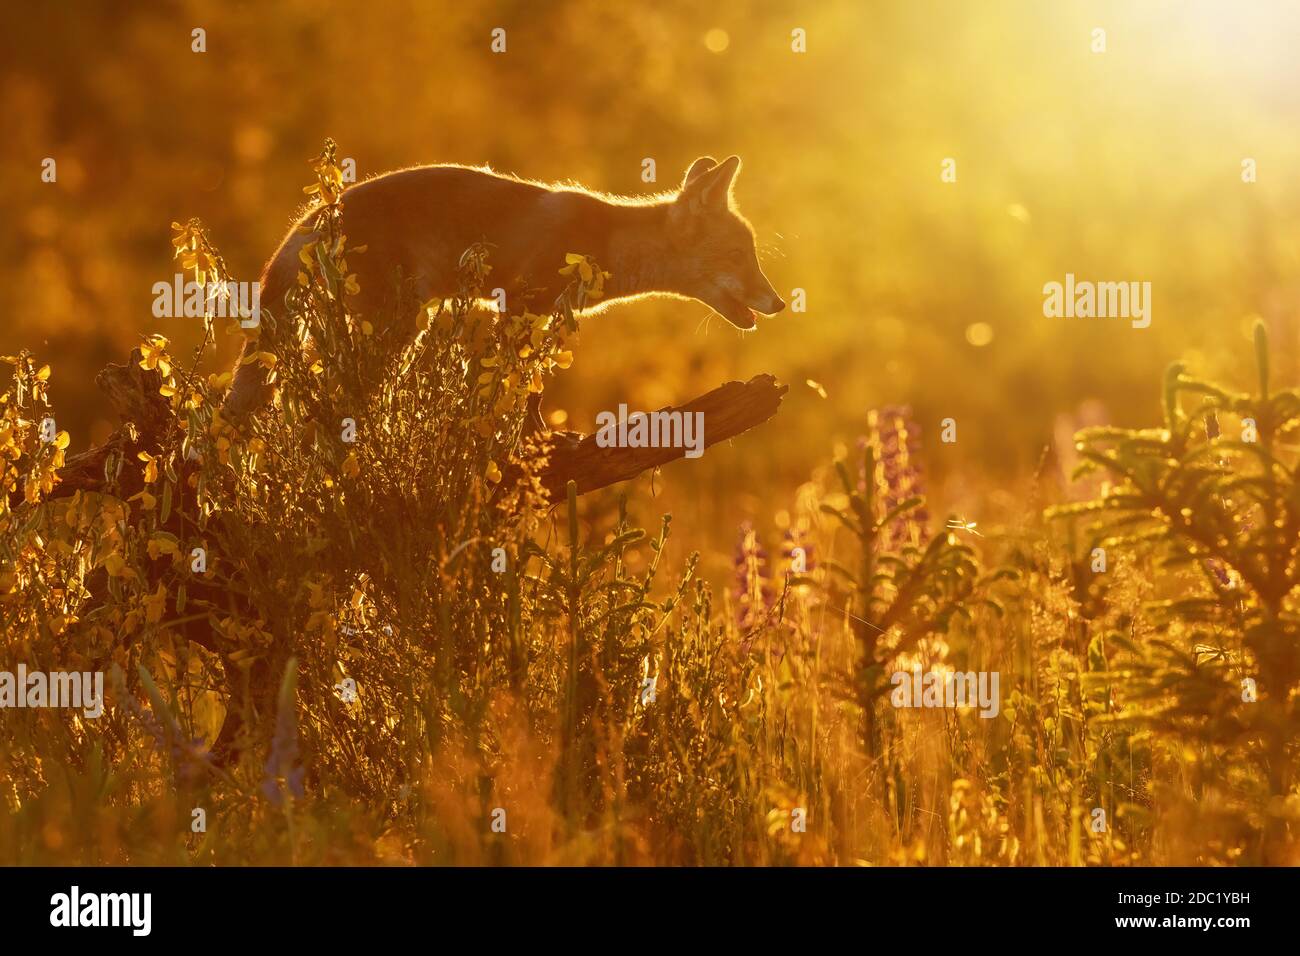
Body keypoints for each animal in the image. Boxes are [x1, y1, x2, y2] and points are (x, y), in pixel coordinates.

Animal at [225, 154, 785, 416]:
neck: (607, 243)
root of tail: (317, 212)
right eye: (740, 257)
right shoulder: (518, 302)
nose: (779, 301)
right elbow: (503, 387)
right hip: (394, 325)